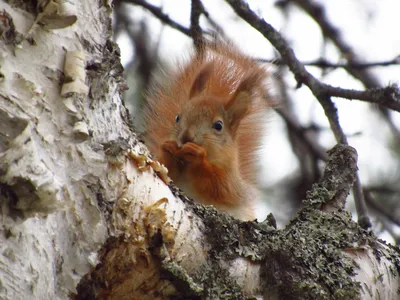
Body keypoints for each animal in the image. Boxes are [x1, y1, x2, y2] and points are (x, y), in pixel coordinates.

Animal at [142, 42, 270, 220]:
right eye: (177, 117)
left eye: (218, 126)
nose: (186, 136)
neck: (185, 166)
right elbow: (166, 170)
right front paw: (168, 149)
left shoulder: (232, 183)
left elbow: (218, 185)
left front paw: (197, 156)